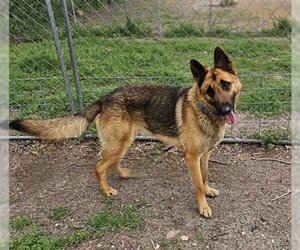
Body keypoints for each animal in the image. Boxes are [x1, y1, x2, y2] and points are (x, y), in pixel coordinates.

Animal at [9, 47, 241, 217]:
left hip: (125, 141)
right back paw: (107, 190)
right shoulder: (192, 157)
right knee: (99, 167)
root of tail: (104, 98)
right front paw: (203, 206)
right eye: (209, 91)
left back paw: (124, 174)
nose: (226, 110)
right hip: (119, 142)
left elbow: (205, 176)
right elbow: (198, 184)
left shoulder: (205, 155)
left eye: (225, 84)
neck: (204, 110)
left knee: (112, 164)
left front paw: (209, 190)